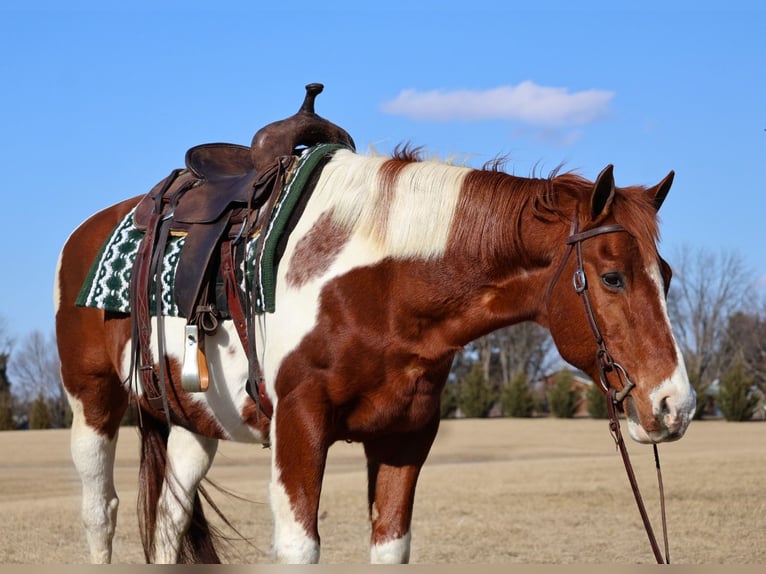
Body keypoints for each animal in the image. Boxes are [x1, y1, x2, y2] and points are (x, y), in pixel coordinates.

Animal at [57, 132, 700, 568]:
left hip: (196, 425)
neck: (382, 286)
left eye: (666, 274)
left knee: (168, 520)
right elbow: (299, 545)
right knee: (100, 511)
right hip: (93, 402)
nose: (676, 405)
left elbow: (390, 544)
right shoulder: (299, 427)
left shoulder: (404, 439)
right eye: (613, 277)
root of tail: (88, 231)